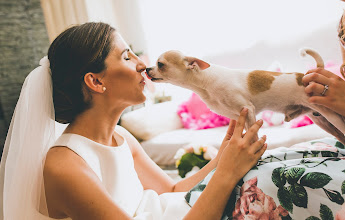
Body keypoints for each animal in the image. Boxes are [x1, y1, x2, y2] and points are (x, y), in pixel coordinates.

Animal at [145, 49, 344, 144]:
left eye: (160, 64)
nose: (146, 69)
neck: (206, 83)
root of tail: (305, 76)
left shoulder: (248, 110)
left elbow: (252, 135)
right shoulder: (240, 115)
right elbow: (245, 132)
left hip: (331, 115)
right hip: (321, 120)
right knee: (340, 135)